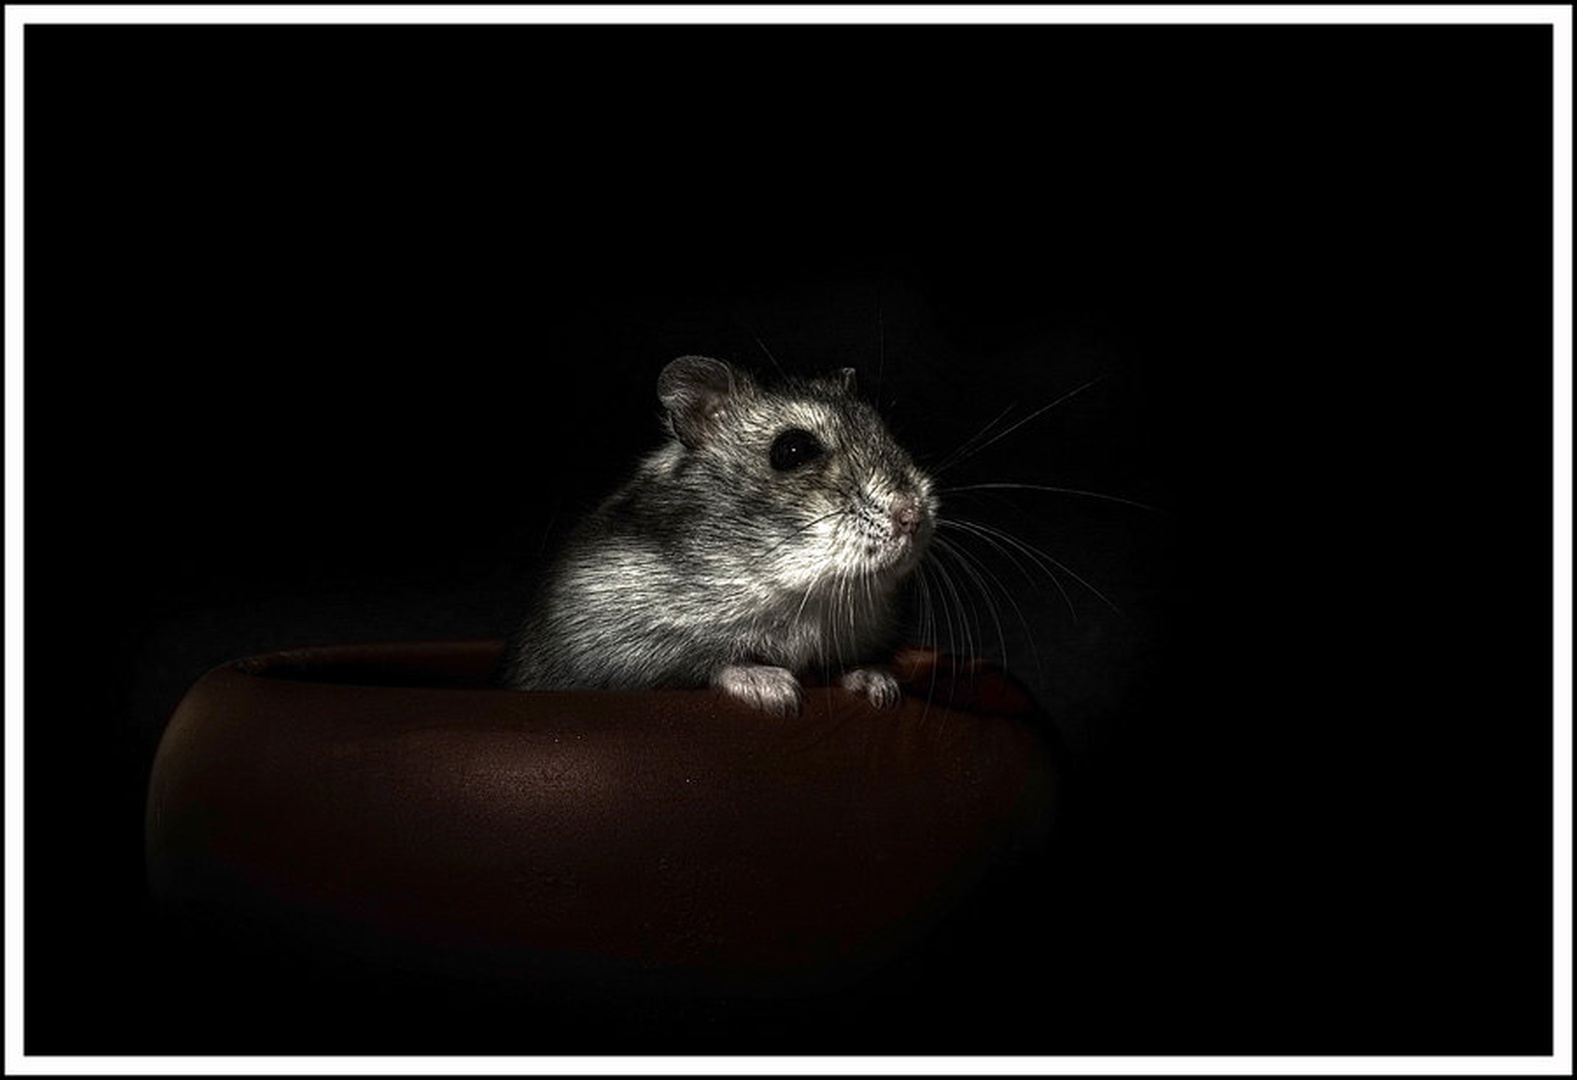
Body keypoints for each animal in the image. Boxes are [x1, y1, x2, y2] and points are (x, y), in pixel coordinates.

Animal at [498, 355, 937, 716]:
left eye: (882, 431)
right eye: (793, 450)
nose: (913, 516)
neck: (796, 593)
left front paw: (883, 688)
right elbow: (713, 664)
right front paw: (777, 693)